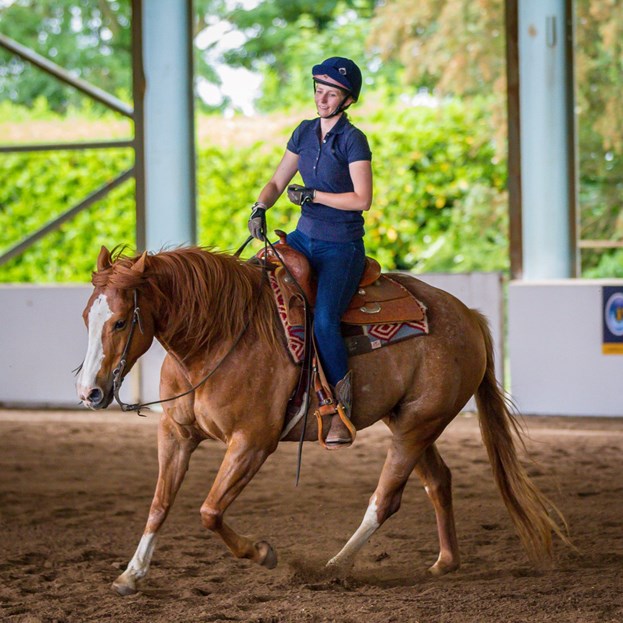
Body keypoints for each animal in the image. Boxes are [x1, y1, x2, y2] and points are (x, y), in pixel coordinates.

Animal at [75, 244, 568, 596]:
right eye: (85, 317)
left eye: (121, 322)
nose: (90, 392)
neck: (218, 339)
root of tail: (468, 316)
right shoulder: (176, 433)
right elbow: (160, 503)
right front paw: (131, 574)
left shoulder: (252, 442)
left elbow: (210, 511)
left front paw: (263, 553)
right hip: (407, 421)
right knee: (438, 480)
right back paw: (445, 562)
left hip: (417, 426)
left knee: (385, 499)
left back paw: (333, 568)